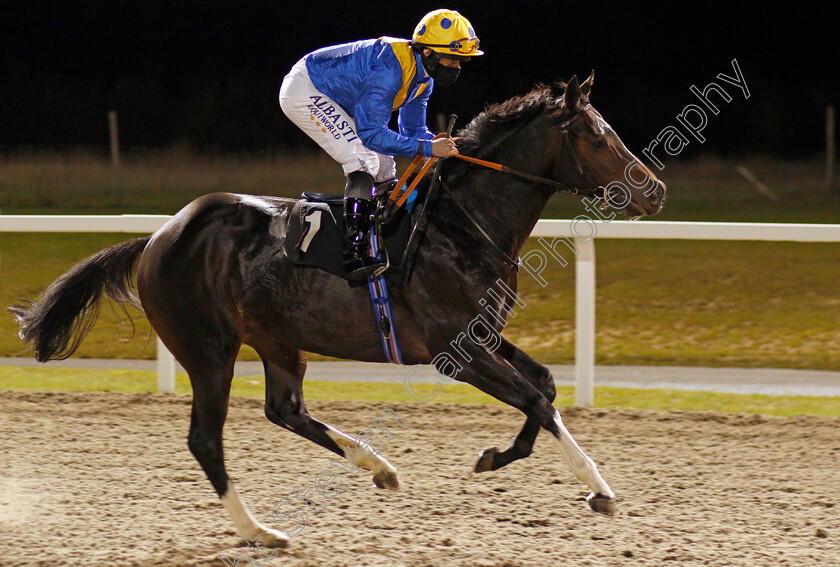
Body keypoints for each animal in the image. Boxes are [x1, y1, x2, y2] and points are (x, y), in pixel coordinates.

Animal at [6, 73, 664, 548]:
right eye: (598, 137)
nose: (654, 189)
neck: (460, 226)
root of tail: (157, 238)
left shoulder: (482, 337)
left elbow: (545, 388)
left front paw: (510, 461)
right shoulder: (455, 354)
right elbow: (535, 402)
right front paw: (585, 484)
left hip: (277, 339)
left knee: (285, 409)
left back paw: (376, 466)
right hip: (210, 351)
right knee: (206, 441)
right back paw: (261, 530)